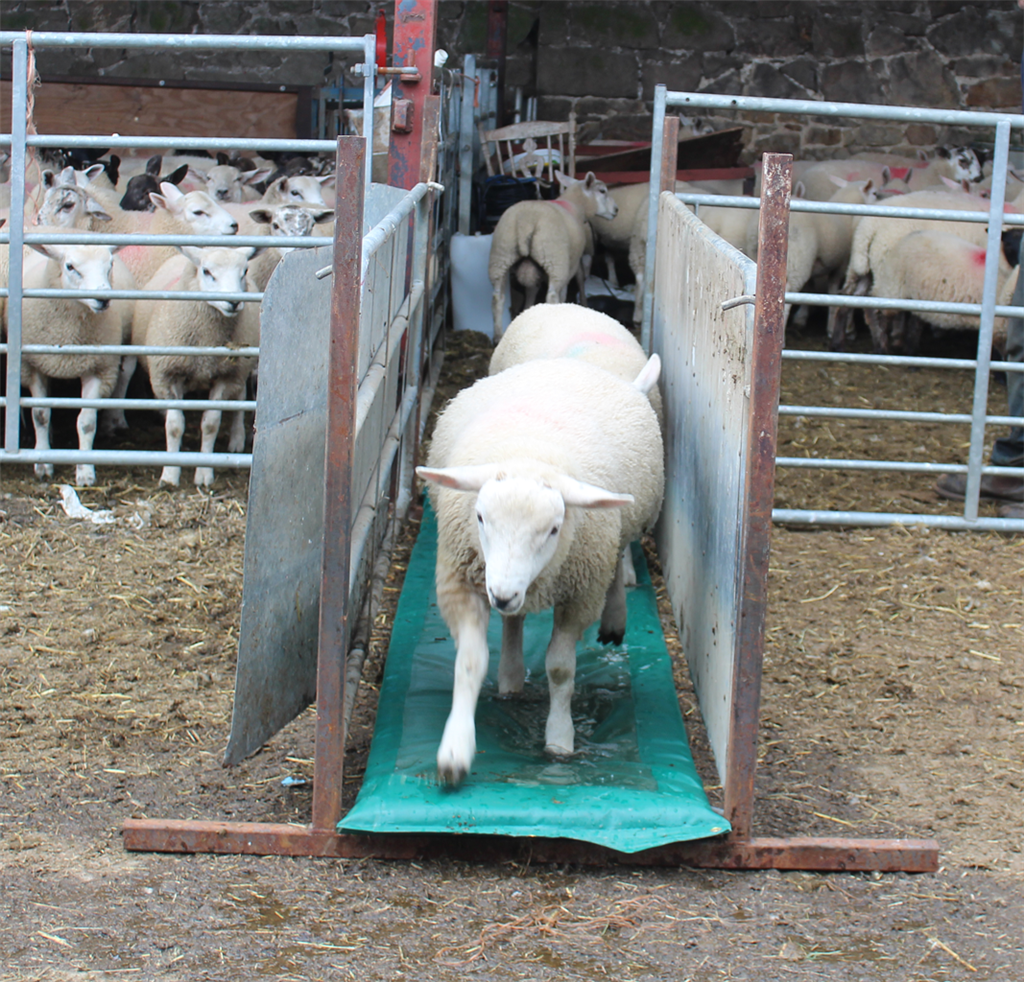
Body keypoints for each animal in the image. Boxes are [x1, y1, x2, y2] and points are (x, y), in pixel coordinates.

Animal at [18, 238, 126, 486]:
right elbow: (40, 415)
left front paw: (85, 470)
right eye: (70, 266)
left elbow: (86, 422)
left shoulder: (97, 368)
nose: (103, 299)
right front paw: (43, 462)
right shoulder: (35, 365)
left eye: (110, 264)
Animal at [133, 245, 261, 487]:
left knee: (239, 400)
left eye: (245, 271)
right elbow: (174, 426)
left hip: (241, 368)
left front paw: (204, 473)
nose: (234, 303)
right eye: (207, 271)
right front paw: (170, 474)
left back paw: (237, 439)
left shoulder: (226, 376)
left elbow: (211, 424)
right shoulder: (167, 376)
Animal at [416, 356, 664, 784]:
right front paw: (455, 750)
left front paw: (560, 739)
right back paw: (511, 676)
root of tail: (564, 361)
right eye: (479, 517)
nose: (501, 595)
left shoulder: (580, 593)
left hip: (617, 529)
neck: (528, 452)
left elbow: (561, 670)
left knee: (617, 561)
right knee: (514, 623)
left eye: (553, 529)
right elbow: (469, 662)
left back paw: (614, 617)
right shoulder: (463, 581)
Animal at [487, 171, 618, 340]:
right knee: (552, 296)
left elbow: (531, 291)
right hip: (555, 261)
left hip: (500, 257)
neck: (576, 206)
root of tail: (526, 220)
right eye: (602, 191)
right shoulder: (572, 262)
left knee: (497, 298)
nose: (616, 210)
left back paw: (498, 336)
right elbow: (578, 281)